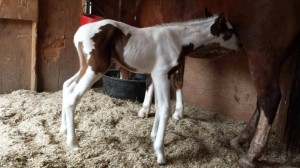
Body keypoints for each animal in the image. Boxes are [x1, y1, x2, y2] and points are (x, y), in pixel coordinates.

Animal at [60, 12, 239, 164]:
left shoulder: (159, 76)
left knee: (67, 86)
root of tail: (79, 33)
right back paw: (73, 143)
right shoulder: (160, 75)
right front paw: (160, 153)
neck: (177, 39)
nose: (240, 45)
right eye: (230, 31)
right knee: (72, 98)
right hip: (95, 68)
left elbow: (159, 106)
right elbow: (165, 108)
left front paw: (153, 137)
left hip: (86, 67)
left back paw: (63, 130)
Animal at [134, 0, 300, 168]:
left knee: (269, 98)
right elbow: (177, 80)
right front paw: (178, 112)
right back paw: (240, 139)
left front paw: (145, 109)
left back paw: (251, 155)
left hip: (262, 57)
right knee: (261, 101)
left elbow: (152, 79)